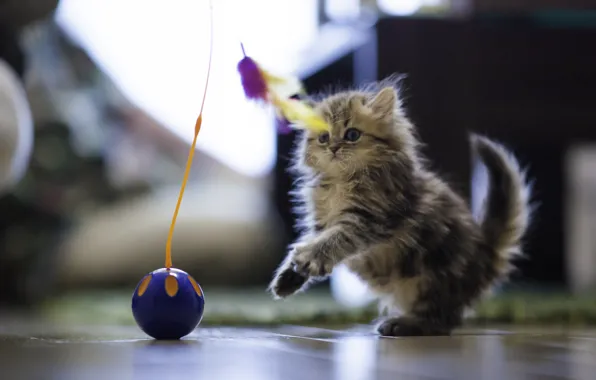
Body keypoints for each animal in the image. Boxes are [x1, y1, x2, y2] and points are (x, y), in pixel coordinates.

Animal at [268, 79, 532, 336]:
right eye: (323, 137)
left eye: (352, 134)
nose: (333, 148)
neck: (343, 182)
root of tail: (486, 250)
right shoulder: (322, 223)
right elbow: (310, 243)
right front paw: (289, 277)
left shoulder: (370, 219)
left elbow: (333, 240)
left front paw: (308, 258)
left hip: (433, 276)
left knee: (441, 321)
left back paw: (402, 324)